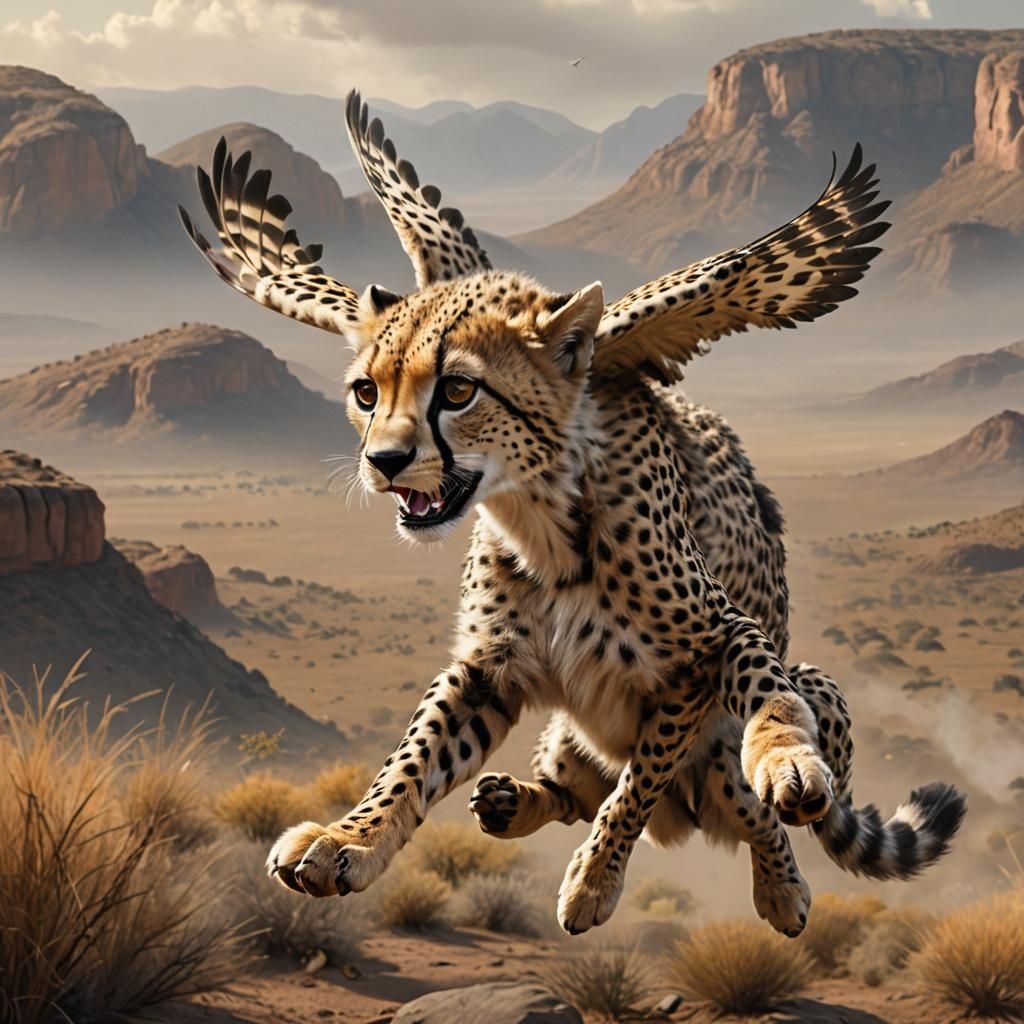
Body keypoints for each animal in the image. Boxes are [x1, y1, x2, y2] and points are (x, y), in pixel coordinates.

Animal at [178, 90, 966, 936]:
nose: (383, 462)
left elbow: (670, 758)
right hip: (563, 739)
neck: (541, 518)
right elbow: (413, 759)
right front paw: (346, 840)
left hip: (790, 706)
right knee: (571, 788)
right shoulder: (489, 665)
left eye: (459, 390)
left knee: (752, 804)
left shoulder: (711, 639)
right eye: (367, 392)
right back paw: (510, 802)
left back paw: (782, 881)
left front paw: (605, 873)